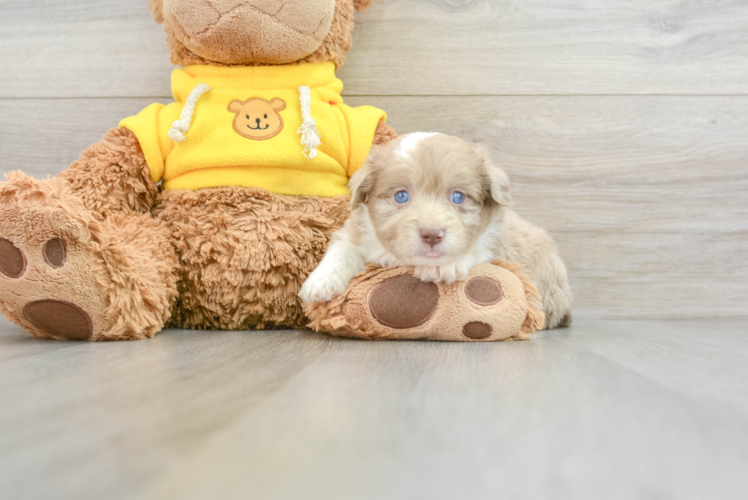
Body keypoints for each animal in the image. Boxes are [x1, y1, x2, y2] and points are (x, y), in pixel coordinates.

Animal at [298, 131, 572, 330]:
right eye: (401, 196)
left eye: (458, 197)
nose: (431, 235)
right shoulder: (357, 233)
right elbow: (342, 250)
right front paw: (320, 283)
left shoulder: (494, 240)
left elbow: (475, 248)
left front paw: (444, 265)